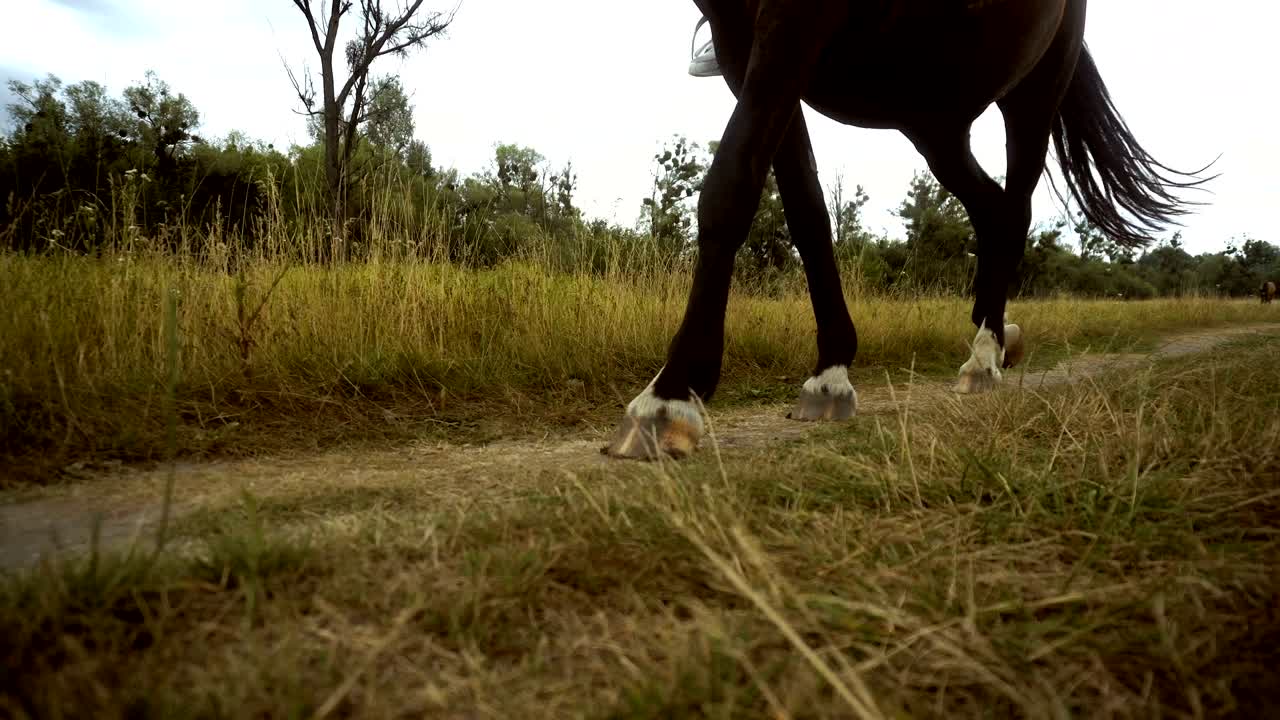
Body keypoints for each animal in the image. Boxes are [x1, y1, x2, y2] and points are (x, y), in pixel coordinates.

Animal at [605, 0, 1214, 460]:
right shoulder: (741, 40)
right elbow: (806, 209)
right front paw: (830, 373)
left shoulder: (793, 20)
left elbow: (731, 185)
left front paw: (671, 395)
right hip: (933, 117)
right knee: (991, 209)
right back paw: (998, 334)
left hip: (1032, 92)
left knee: (1014, 208)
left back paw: (984, 357)